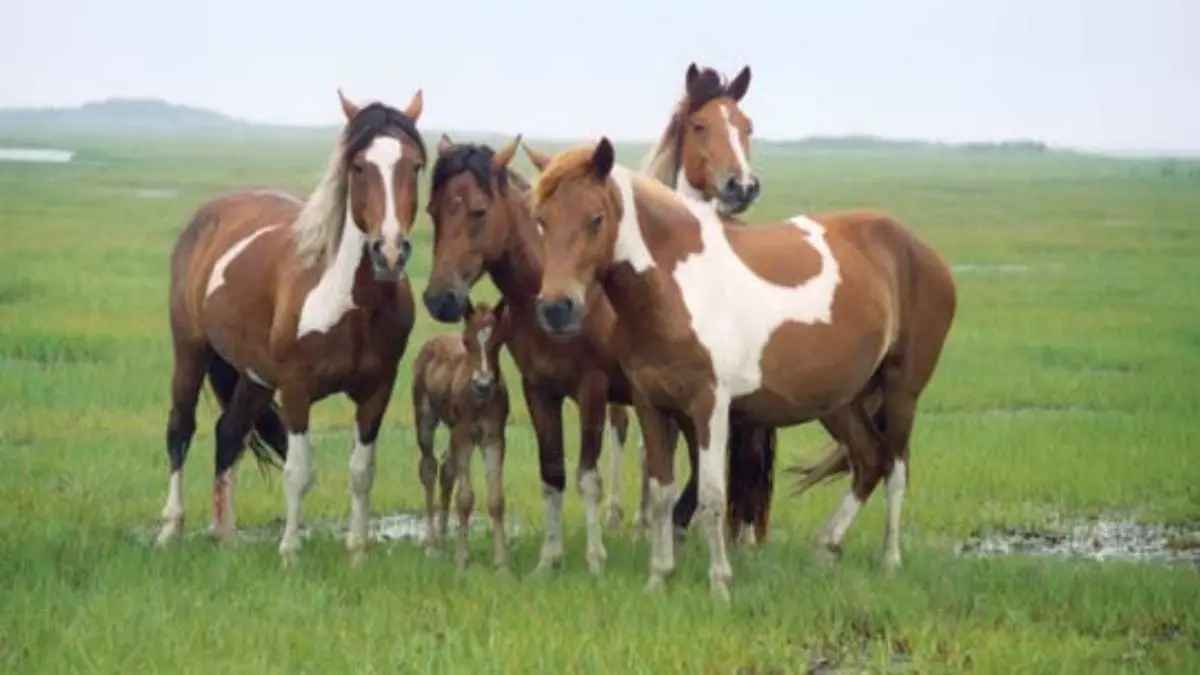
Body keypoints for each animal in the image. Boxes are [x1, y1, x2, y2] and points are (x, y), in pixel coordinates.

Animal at [158, 89, 426, 566]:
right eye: (359, 167)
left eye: (414, 166)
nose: (390, 251)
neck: (350, 303)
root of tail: (209, 214)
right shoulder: (297, 389)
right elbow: (299, 471)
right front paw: (290, 552)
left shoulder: (377, 390)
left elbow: (362, 471)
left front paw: (357, 553)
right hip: (190, 350)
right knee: (180, 429)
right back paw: (170, 530)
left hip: (255, 377)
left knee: (228, 434)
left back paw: (225, 537)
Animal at [412, 301, 511, 570]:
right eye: (466, 341)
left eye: (498, 340)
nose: (483, 385)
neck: (479, 401)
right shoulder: (464, 436)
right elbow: (465, 498)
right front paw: (462, 560)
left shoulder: (494, 438)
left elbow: (496, 499)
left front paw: (501, 564)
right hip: (425, 418)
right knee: (429, 468)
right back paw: (431, 544)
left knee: (447, 469)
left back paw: (445, 539)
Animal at [528, 139, 956, 599]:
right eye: (541, 220)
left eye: (595, 218)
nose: (556, 308)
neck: (676, 286)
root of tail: (919, 249)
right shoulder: (651, 404)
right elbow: (661, 493)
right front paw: (659, 577)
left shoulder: (710, 405)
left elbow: (713, 495)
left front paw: (720, 583)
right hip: (841, 402)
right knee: (870, 460)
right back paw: (826, 546)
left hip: (901, 392)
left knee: (896, 468)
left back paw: (890, 559)